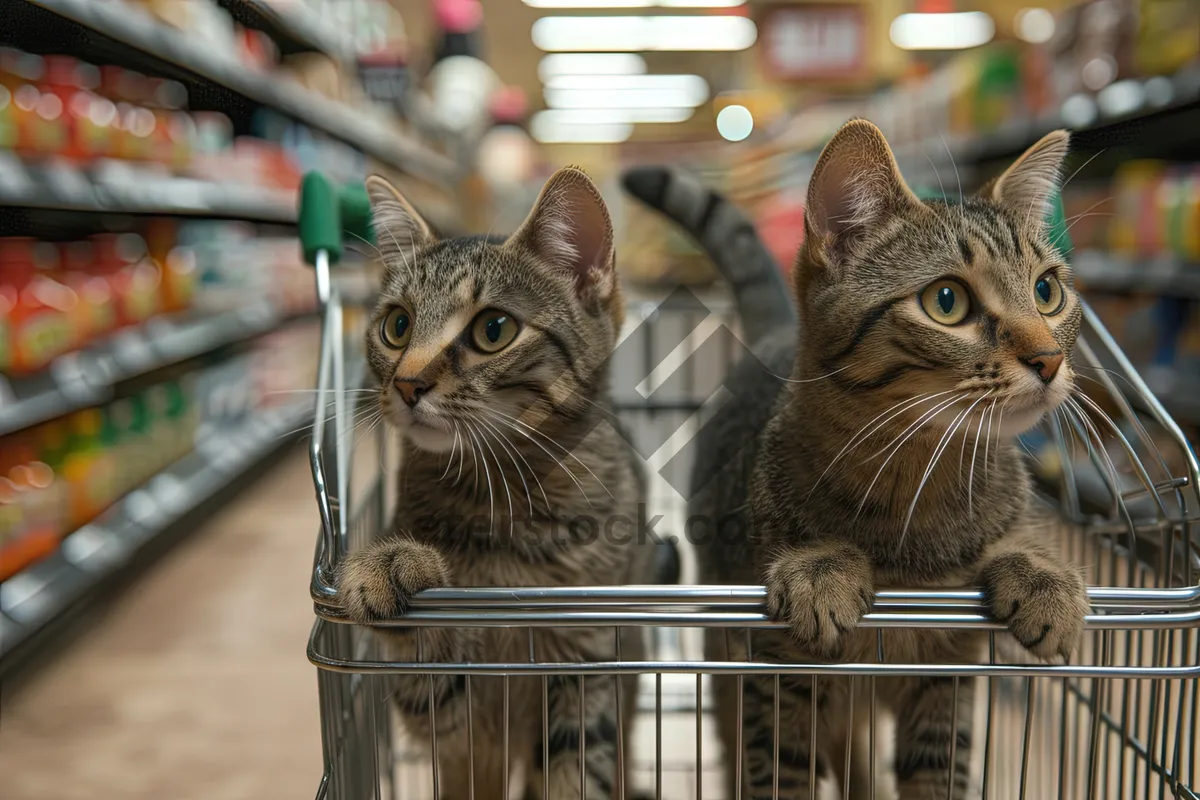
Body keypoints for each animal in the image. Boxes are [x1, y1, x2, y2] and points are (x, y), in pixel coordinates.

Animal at [338, 165, 657, 796]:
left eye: (494, 330)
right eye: (397, 325)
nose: (407, 383)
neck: (498, 494)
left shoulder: (587, 671)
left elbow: (576, 771)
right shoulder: (442, 712)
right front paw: (390, 563)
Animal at [624, 120, 1094, 800]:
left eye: (1047, 291)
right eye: (947, 301)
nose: (1049, 360)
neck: (920, 480)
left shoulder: (948, 672)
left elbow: (936, 774)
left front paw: (1040, 573)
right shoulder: (776, 676)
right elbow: (778, 770)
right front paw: (821, 566)